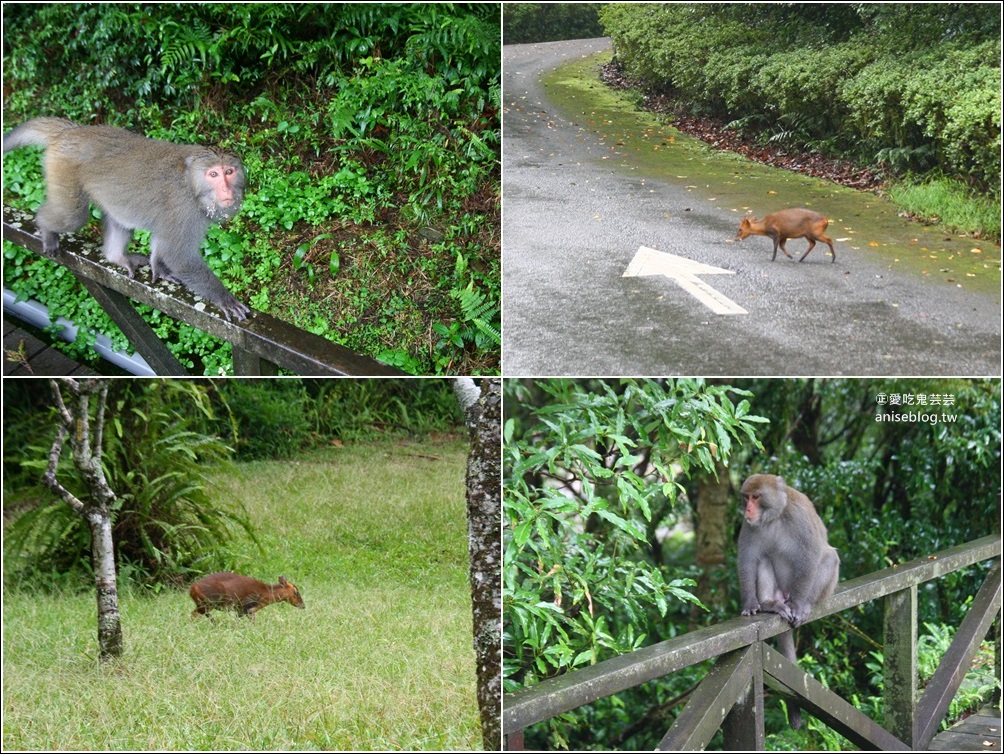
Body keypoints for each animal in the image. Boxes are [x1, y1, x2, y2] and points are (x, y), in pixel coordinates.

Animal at [2, 117, 249, 321]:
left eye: (229, 172)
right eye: (213, 174)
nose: (226, 190)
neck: (192, 184)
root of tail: (72, 131)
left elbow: (162, 240)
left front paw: (158, 266)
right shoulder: (183, 208)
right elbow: (178, 255)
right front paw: (224, 298)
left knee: (120, 218)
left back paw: (116, 256)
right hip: (63, 169)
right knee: (72, 217)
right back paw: (46, 229)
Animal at [738, 473, 839, 726]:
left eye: (756, 497)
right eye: (746, 497)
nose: (748, 509)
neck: (774, 516)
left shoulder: (798, 517)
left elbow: (810, 555)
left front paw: (799, 606)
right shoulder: (750, 526)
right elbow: (748, 560)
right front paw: (750, 604)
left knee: (829, 558)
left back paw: (804, 604)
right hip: (778, 592)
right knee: (764, 558)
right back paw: (769, 604)